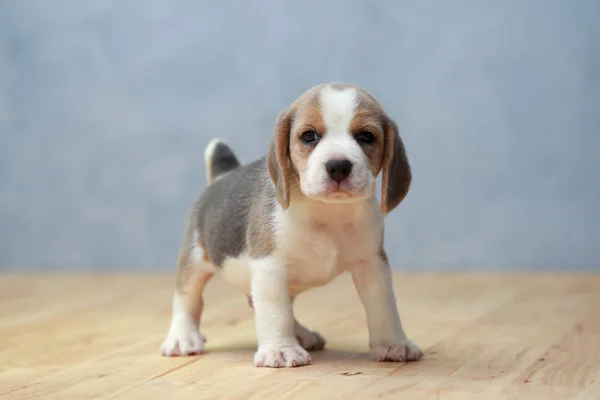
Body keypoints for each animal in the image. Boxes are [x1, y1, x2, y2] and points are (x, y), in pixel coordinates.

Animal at [159, 83, 422, 368]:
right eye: (309, 136)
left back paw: (301, 334)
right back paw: (182, 337)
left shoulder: (373, 265)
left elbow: (384, 308)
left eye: (366, 136)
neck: (327, 212)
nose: (338, 166)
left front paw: (394, 343)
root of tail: (221, 175)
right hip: (195, 260)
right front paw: (280, 349)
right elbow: (276, 312)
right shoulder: (269, 266)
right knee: (187, 300)